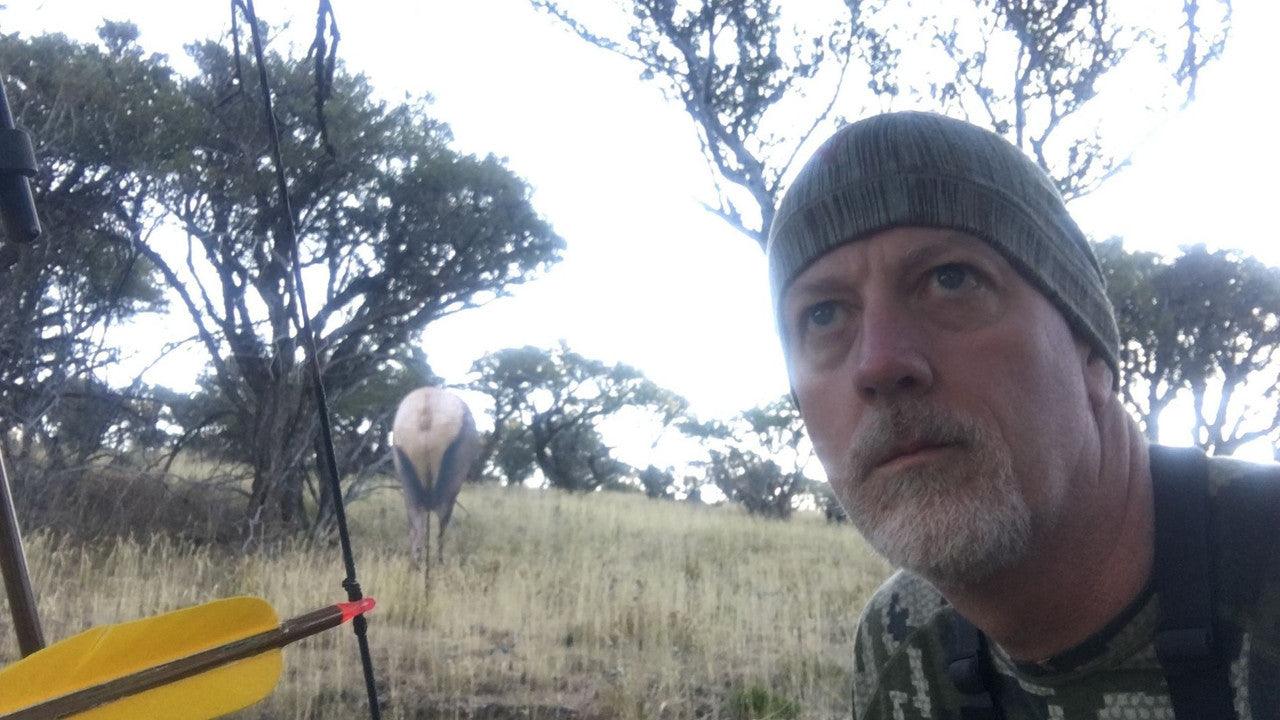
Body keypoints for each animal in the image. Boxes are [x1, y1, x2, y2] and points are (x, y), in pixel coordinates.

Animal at [391, 386, 482, 566]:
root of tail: (427, 410)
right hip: (448, 484)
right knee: (440, 519)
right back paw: (438, 562)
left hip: (409, 482)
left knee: (416, 520)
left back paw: (416, 564)